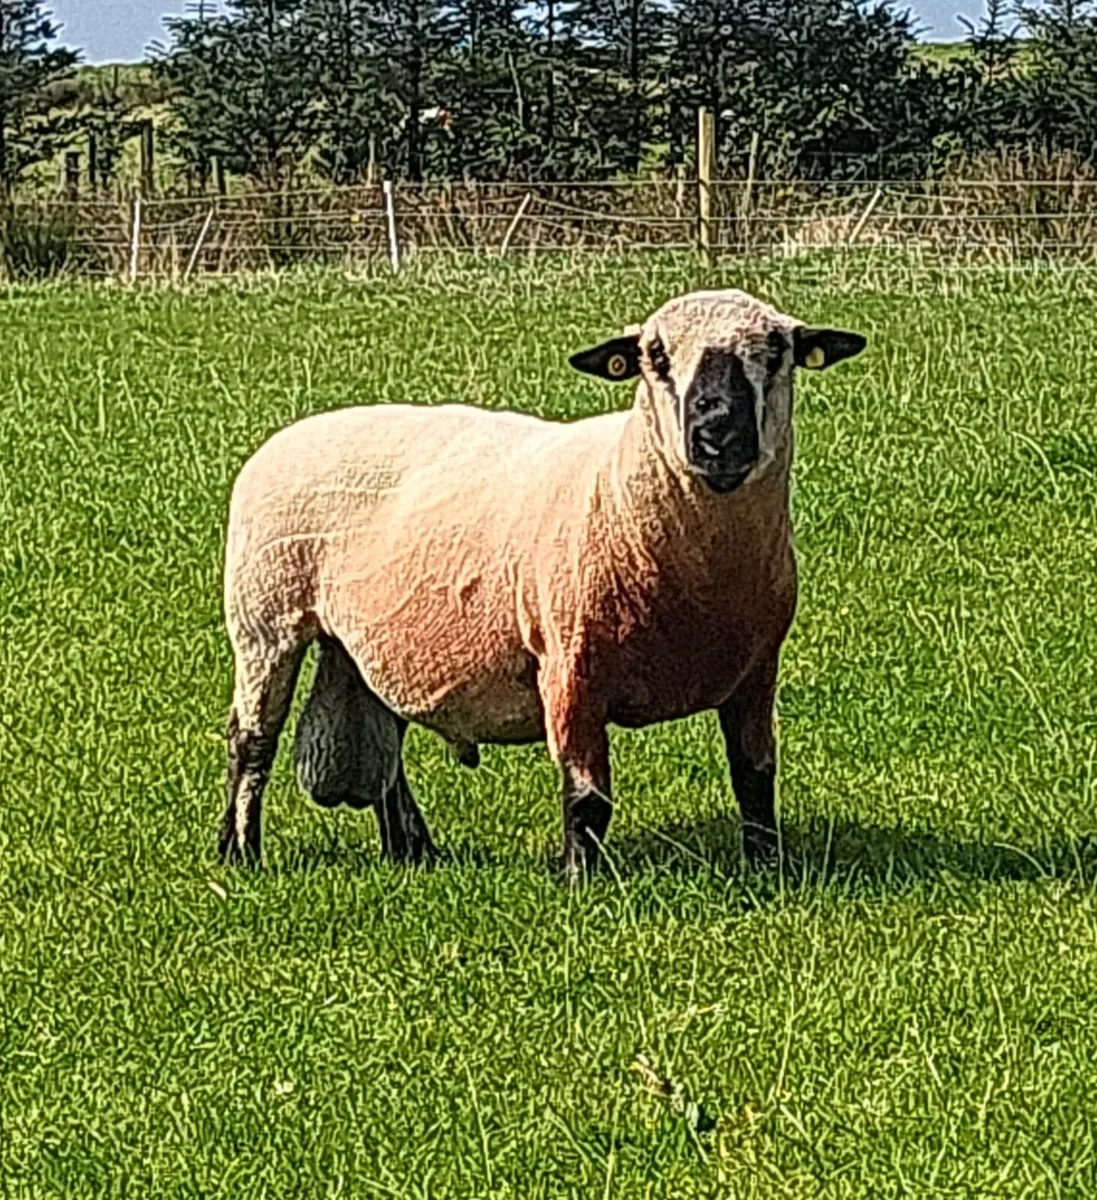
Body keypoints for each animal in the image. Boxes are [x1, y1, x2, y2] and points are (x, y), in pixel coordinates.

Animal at [219, 288, 866, 883]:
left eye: (777, 351)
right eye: (654, 356)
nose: (717, 435)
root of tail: (294, 432)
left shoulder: (756, 673)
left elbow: (754, 780)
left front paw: (766, 870)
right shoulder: (569, 670)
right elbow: (587, 798)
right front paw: (580, 883)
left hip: (376, 642)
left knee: (386, 744)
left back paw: (412, 848)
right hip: (263, 624)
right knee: (252, 741)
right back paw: (240, 853)